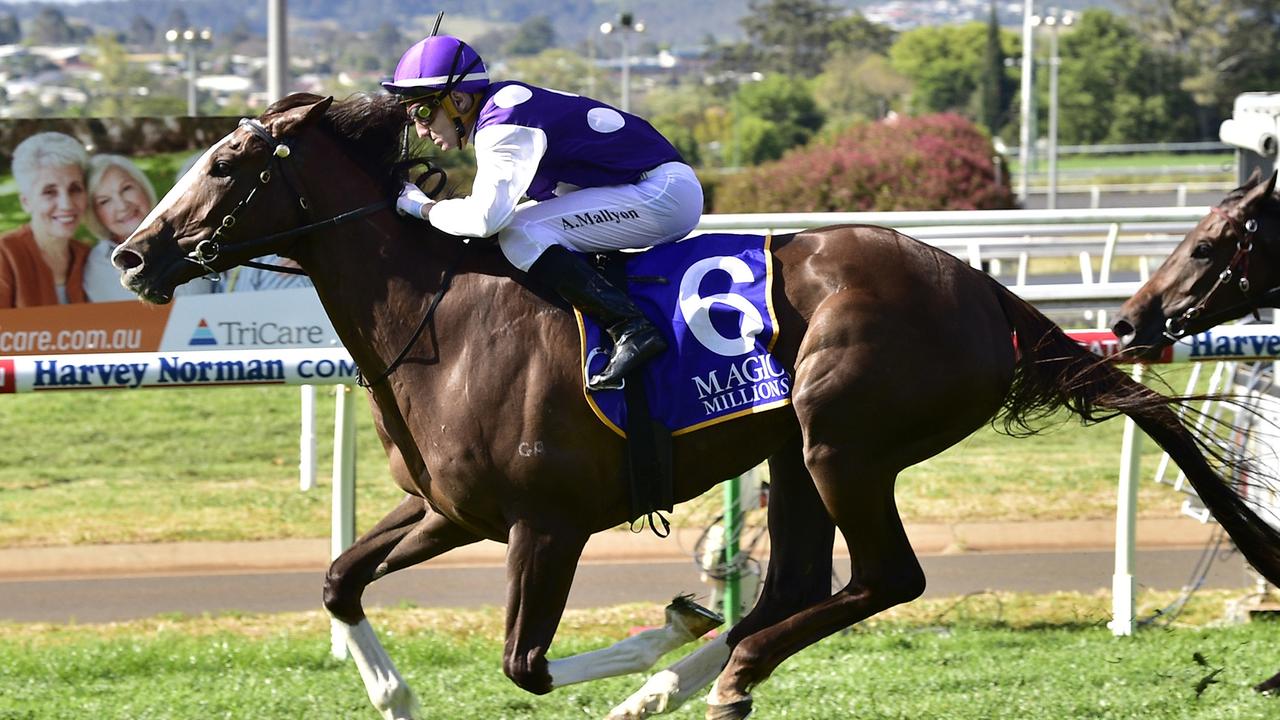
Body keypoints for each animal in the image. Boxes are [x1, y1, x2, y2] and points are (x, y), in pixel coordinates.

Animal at [107, 92, 1280, 712]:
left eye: (225, 162)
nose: (131, 255)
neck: (441, 315)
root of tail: (982, 287)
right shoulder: (452, 511)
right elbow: (340, 578)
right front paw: (393, 693)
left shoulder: (547, 524)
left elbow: (526, 666)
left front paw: (645, 645)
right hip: (793, 452)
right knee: (797, 583)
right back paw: (699, 675)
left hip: (841, 440)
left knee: (884, 579)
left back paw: (702, 672)